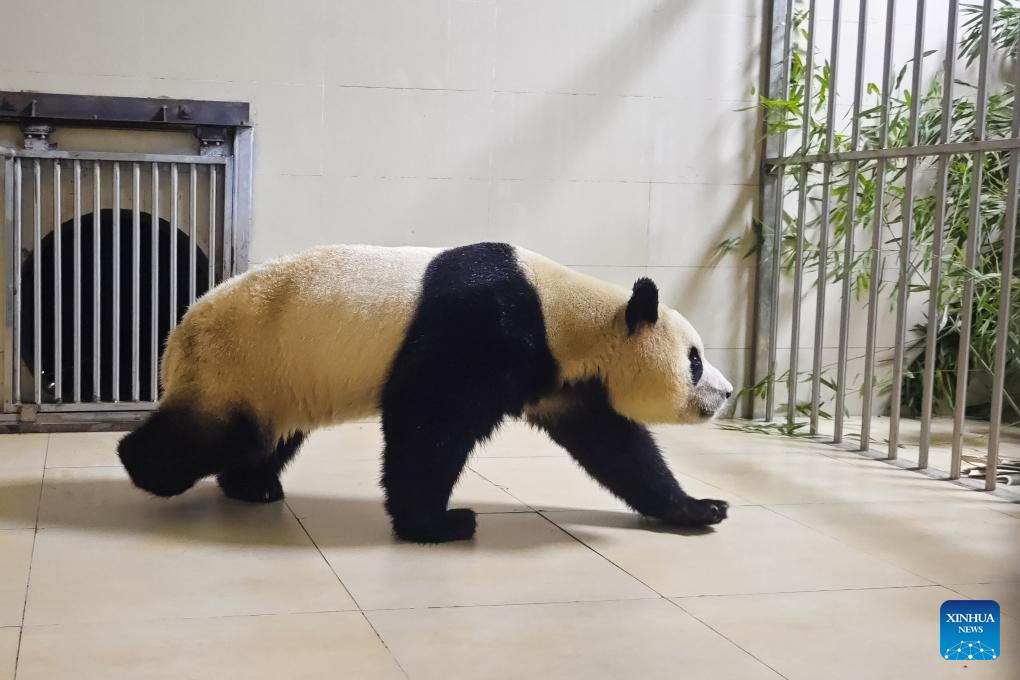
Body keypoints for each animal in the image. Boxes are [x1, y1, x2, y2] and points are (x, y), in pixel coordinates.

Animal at [118, 242, 734, 543]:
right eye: (694, 359)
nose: (726, 394)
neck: (566, 313)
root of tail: (176, 335)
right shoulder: (483, 327)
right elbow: (429, 423)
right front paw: (440, 524)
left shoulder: (562, 379)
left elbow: (616, 448)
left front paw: (698, 508)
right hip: (241, 361)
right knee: (208, 434)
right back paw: (142, 467)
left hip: (278, 380)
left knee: (263, 439)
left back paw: (254, 486)